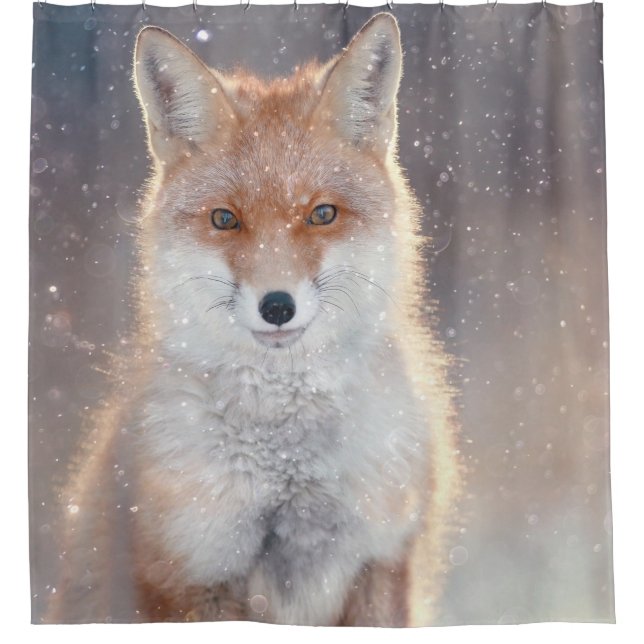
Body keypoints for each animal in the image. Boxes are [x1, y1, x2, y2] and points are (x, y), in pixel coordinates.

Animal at [44, 12, 462, 626]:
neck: (287, 463)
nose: (277, 306)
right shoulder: (191, 570)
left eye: (322, 214)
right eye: (225, 219)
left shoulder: (381, 560)